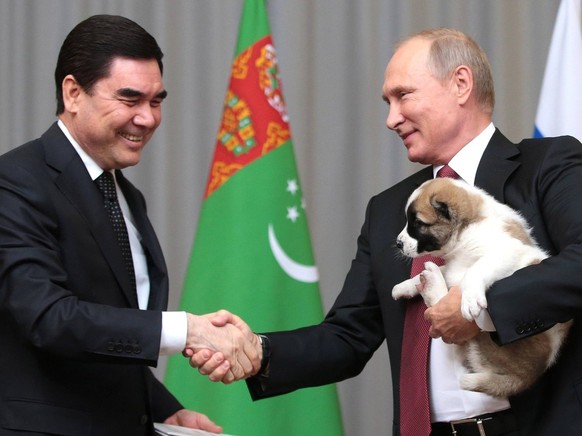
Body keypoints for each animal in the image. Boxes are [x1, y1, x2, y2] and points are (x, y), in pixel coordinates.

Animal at [394, 177, 572, 398]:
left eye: (418, 223)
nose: (398, 243)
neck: (468, 227)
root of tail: (528, 376)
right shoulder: (455, 266)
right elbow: (447, 269)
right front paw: (405, 286)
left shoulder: (508, 251)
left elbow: (477, 269)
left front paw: (469, 300)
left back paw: (432, 283)